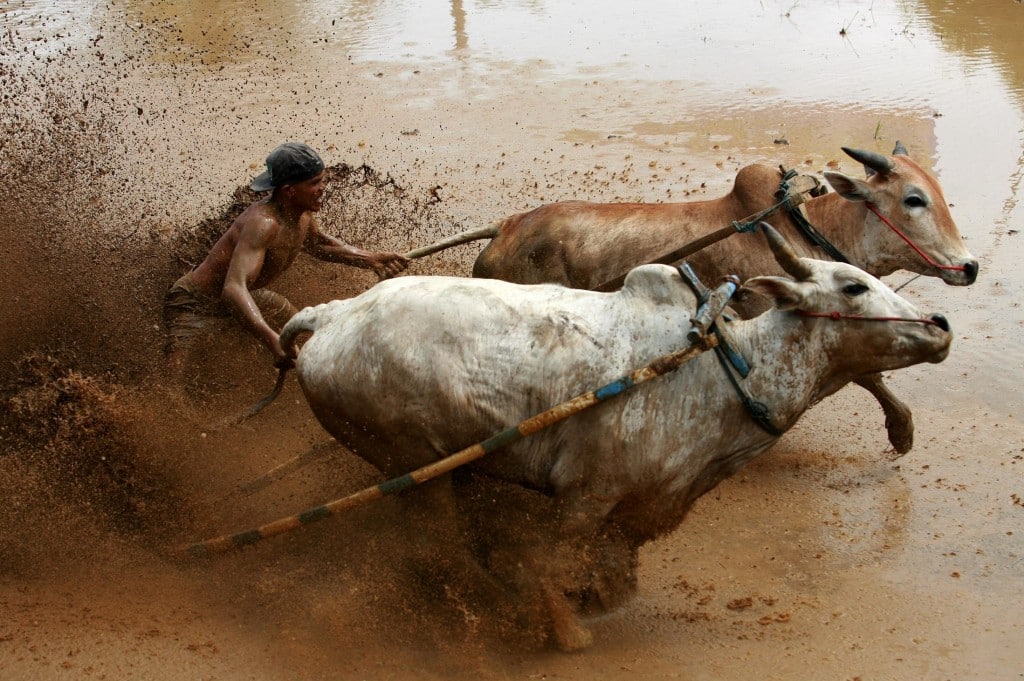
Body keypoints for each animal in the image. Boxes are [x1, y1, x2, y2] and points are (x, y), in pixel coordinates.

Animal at [278, 227, 950, 647]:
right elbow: (556, 561)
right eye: (853, 286)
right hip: (411, 463)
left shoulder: (650, 502)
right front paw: (567, 631)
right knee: (437, 546)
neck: (726, 366)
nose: (940, 324)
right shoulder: (589, 492)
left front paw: (599, 600)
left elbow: (617, 568)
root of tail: (332, 316)